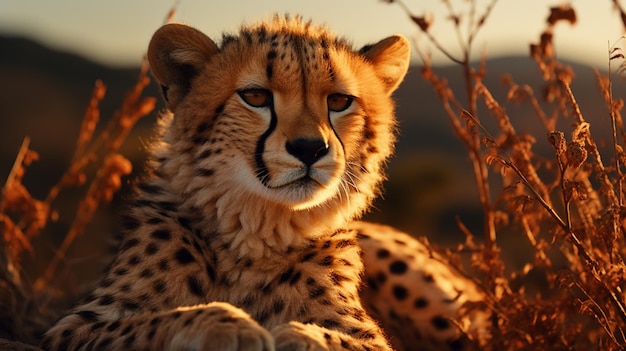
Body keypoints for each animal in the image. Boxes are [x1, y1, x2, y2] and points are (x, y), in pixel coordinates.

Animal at [41, 15, 480, 350]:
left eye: (339, 102)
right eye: (255, 96)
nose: (309, 148)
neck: (253, 232)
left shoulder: (368, 337)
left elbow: (337, 339)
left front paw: (298, 335)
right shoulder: (76, 327)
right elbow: (156, 321)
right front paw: (231, 325)